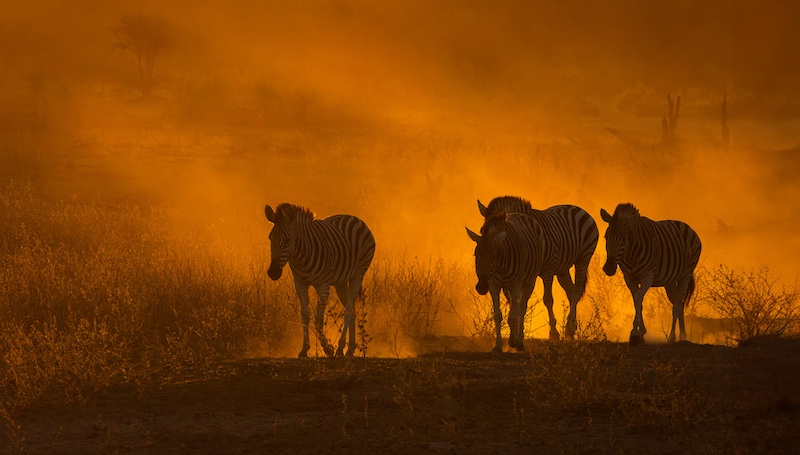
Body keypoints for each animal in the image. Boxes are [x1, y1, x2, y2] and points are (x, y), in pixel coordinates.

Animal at [265, 203, 376, 357]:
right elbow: (305, 316)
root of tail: (353, 217)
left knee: (349, 307)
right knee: (351, 307)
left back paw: (341, 347)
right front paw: (304, 349)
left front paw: (328, 349)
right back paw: (350, 348)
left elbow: (318, 318)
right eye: (270, 238)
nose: (273, 272)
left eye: (287, 239)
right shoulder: (300, 283)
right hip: (341, 282)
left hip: (359, 272)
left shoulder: (323, 285)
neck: (301, 257)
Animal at [466, 210, 545, 352]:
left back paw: (520, 342)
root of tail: (520, 214)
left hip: (529, 281)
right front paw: (498, 345)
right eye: (476, 255)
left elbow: (514, 315)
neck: (500, 265)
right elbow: (498, 315)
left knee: (521, 309)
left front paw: (513, 341)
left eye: (494, 255)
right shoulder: (494, 285)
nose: (481, 287)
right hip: (506, 288)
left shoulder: (516, 285)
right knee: (514, 306)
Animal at [478, 196, 599, 341]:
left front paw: (553, 333)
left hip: (583, 258)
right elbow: (514, 300)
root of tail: (576, 207)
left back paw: (569, 328)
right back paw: (571, 328)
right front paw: (519, 332)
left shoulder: (546, 271)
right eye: (482, 231)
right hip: (563, 269)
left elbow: (547, 300)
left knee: (577, 289)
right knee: (571, 290)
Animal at [600, 203, 702, 345]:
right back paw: (681, 336)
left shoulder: (648, 276)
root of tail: (686, 225)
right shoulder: (629, 278)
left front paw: (635, 332)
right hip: (670, 282)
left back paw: (674, 336)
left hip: (686, 273)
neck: (631, 254)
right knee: (678, 302)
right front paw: (640, 331)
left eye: (624, 238)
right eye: (606, 236)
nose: (608, 268)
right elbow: (636, 301)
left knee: (677, 304)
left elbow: (638, 298)